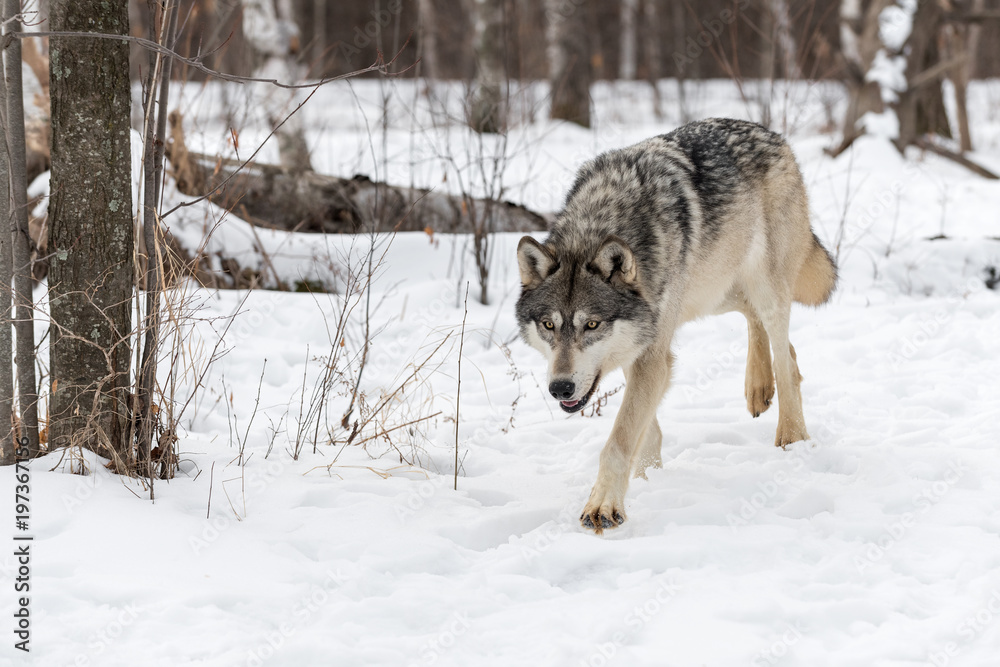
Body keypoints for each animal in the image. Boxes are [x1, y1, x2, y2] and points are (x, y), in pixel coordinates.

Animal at [515, 118, 836, 534]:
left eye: (592, 324)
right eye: (548, 325)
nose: (560, 387)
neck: (601, 221)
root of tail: (770, 133)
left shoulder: (652, 354)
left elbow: (619, 439)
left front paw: (603, 507)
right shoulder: (647, 348)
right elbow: (643, 428)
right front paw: (647, 477)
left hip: (764, 287)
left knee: (787, 358)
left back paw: (792, 435)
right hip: (711, 291)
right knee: (757, 321)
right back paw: (758, 388)